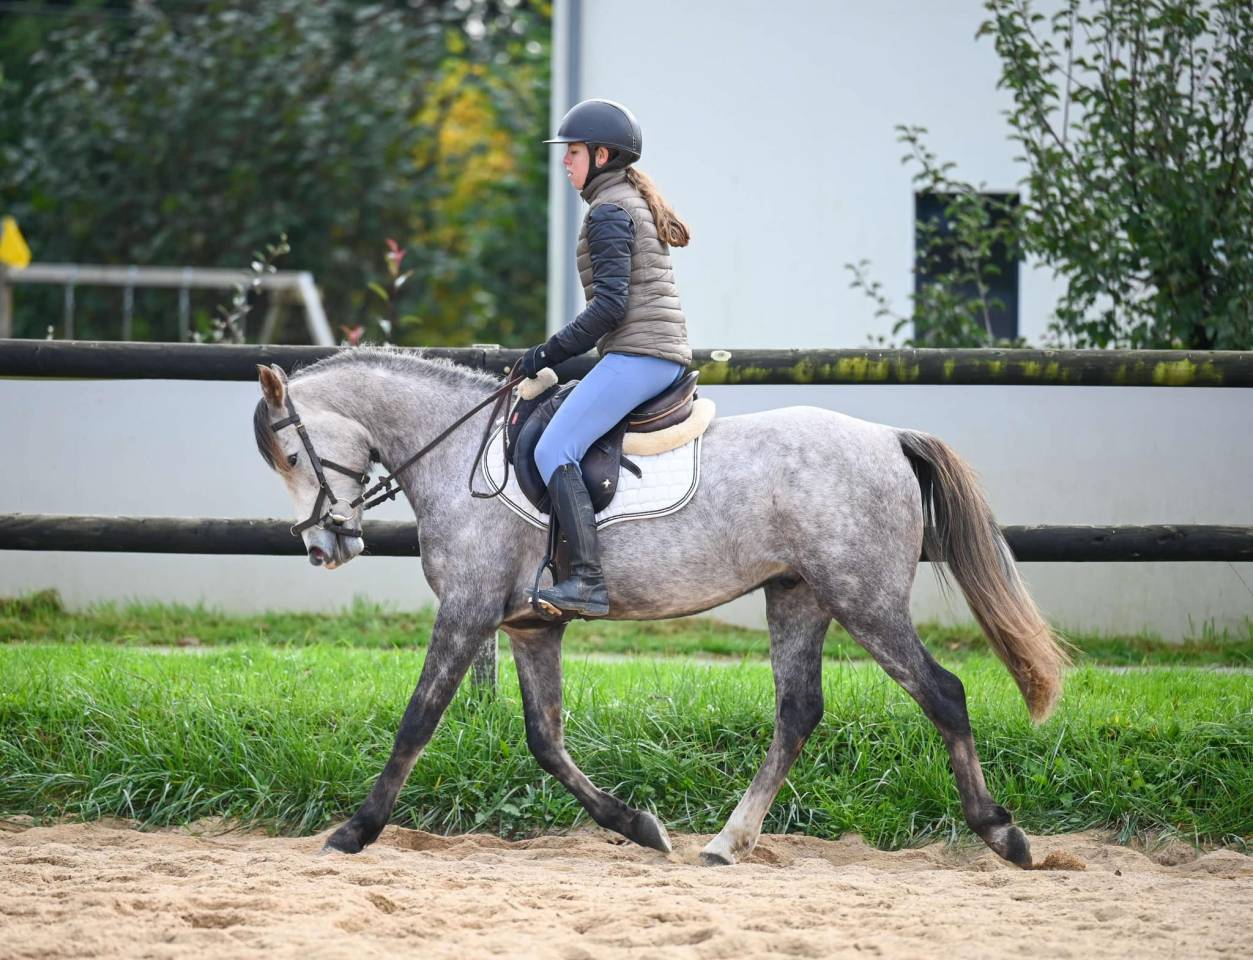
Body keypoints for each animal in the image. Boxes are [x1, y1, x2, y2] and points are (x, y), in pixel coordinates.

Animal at [252, 348, 1067, 867]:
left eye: (291, 457)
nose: (325, 545)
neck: (458, 457)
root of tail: (890, 438)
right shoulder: (529, 626)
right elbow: (545, 740)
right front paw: (639, 826)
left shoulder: (468, 609)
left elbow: (417, 720)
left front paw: (354, 831)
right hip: (798, 596)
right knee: (798, 710)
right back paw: (727, 842)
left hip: (862, 597)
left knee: (942, 692)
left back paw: (1002, 834)